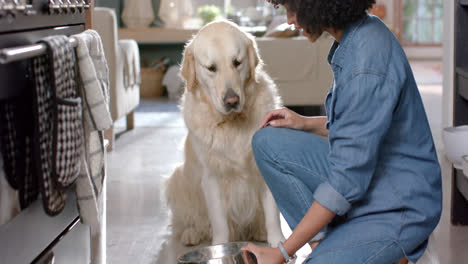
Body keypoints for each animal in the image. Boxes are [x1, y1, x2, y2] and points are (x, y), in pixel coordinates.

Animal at [168, 20, 286, 245]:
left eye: (237, 62)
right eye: (211, 68)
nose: (232, 101)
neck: (232, 123)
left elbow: (272, 213)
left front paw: (278, 241)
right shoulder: (211, 177)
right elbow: (219, 220)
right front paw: (220, 246)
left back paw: (260, 231)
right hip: (177, 178)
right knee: (191, 219)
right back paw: (191, 233)